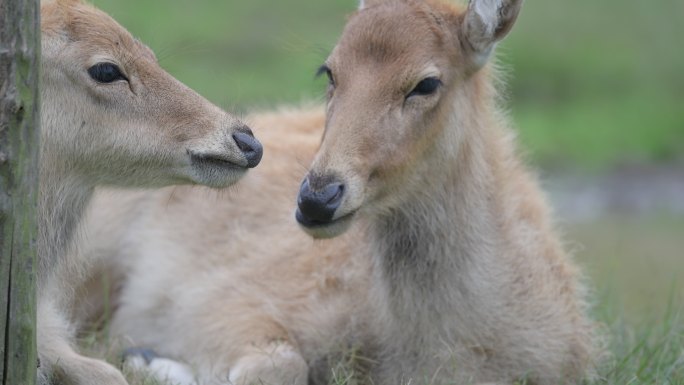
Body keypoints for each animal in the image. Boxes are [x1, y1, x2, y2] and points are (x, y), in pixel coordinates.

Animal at [73, 0, 600, 380]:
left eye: (427, 83)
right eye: (328, 70)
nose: (316, 198)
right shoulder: (221, 301)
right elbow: (280, 365)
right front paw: (147, 357)